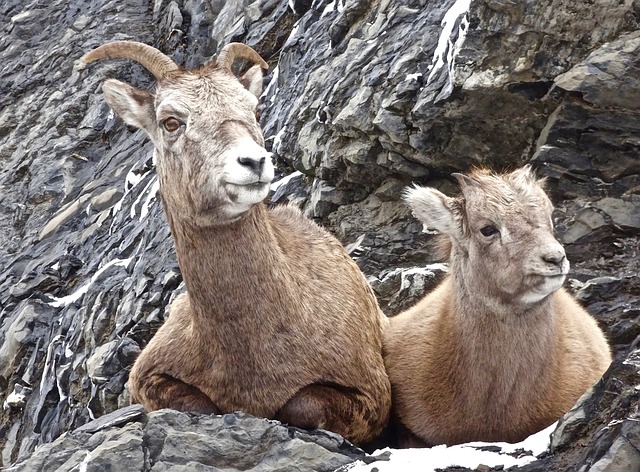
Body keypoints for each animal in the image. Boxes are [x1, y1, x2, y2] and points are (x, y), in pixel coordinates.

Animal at [80, 42, 390, 444]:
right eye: (171, 122)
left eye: (253, 110)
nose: (254, 162)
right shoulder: (148, 378)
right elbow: (201, 406)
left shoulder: (372, 397)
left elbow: (301, 405)